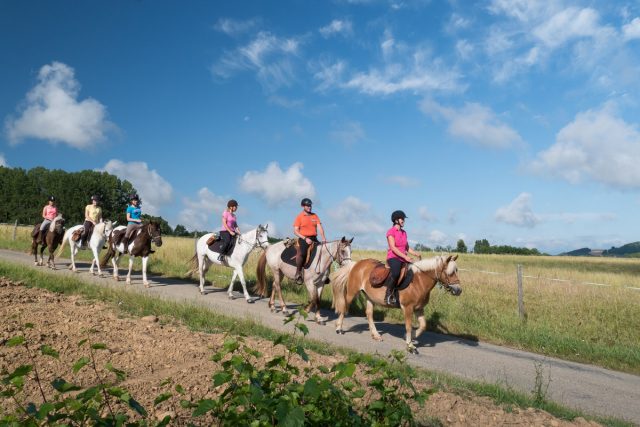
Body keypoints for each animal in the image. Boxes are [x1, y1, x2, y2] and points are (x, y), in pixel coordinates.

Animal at [332, 256, 462, 352]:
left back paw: (376, 335)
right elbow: (409, 326)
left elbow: (423, 325)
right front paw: (410, 345)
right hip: (352, 292)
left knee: (369, 314)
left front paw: (410, 337)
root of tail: (357, 264)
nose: (459, 290)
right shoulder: (408, 308)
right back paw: (339, 328)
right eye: (450, 273)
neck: (419, 281)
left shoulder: (419, 309)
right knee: (344, 308)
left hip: (370, 297)